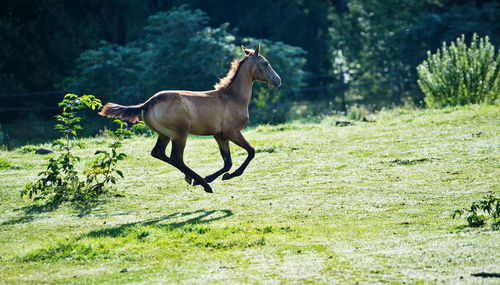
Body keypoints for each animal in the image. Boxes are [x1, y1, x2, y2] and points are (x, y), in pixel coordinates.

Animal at [99, 43, 282, 192]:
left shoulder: (219, 135)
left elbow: (227, 162)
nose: (278, 80)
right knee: (176, 157)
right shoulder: (232, 132)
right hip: (180, 134)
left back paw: (193, 178)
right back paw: (203, 184)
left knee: (158, 153)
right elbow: (251, 151)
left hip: (164, 135)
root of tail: (148, 102)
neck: (232, 97)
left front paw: (217, 176)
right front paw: (223, 177)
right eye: (266, 63)